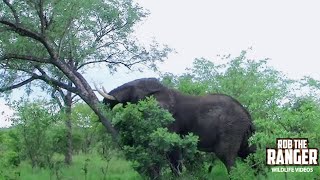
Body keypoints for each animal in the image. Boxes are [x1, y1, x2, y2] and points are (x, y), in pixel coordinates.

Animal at [96, 78, 256, 175]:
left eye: (133, 90)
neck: (162, 90)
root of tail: (247, 115)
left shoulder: (170, 120)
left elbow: (172, 150)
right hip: (243, 132)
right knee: (249, 152)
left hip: (231, 128)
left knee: (227, 156)